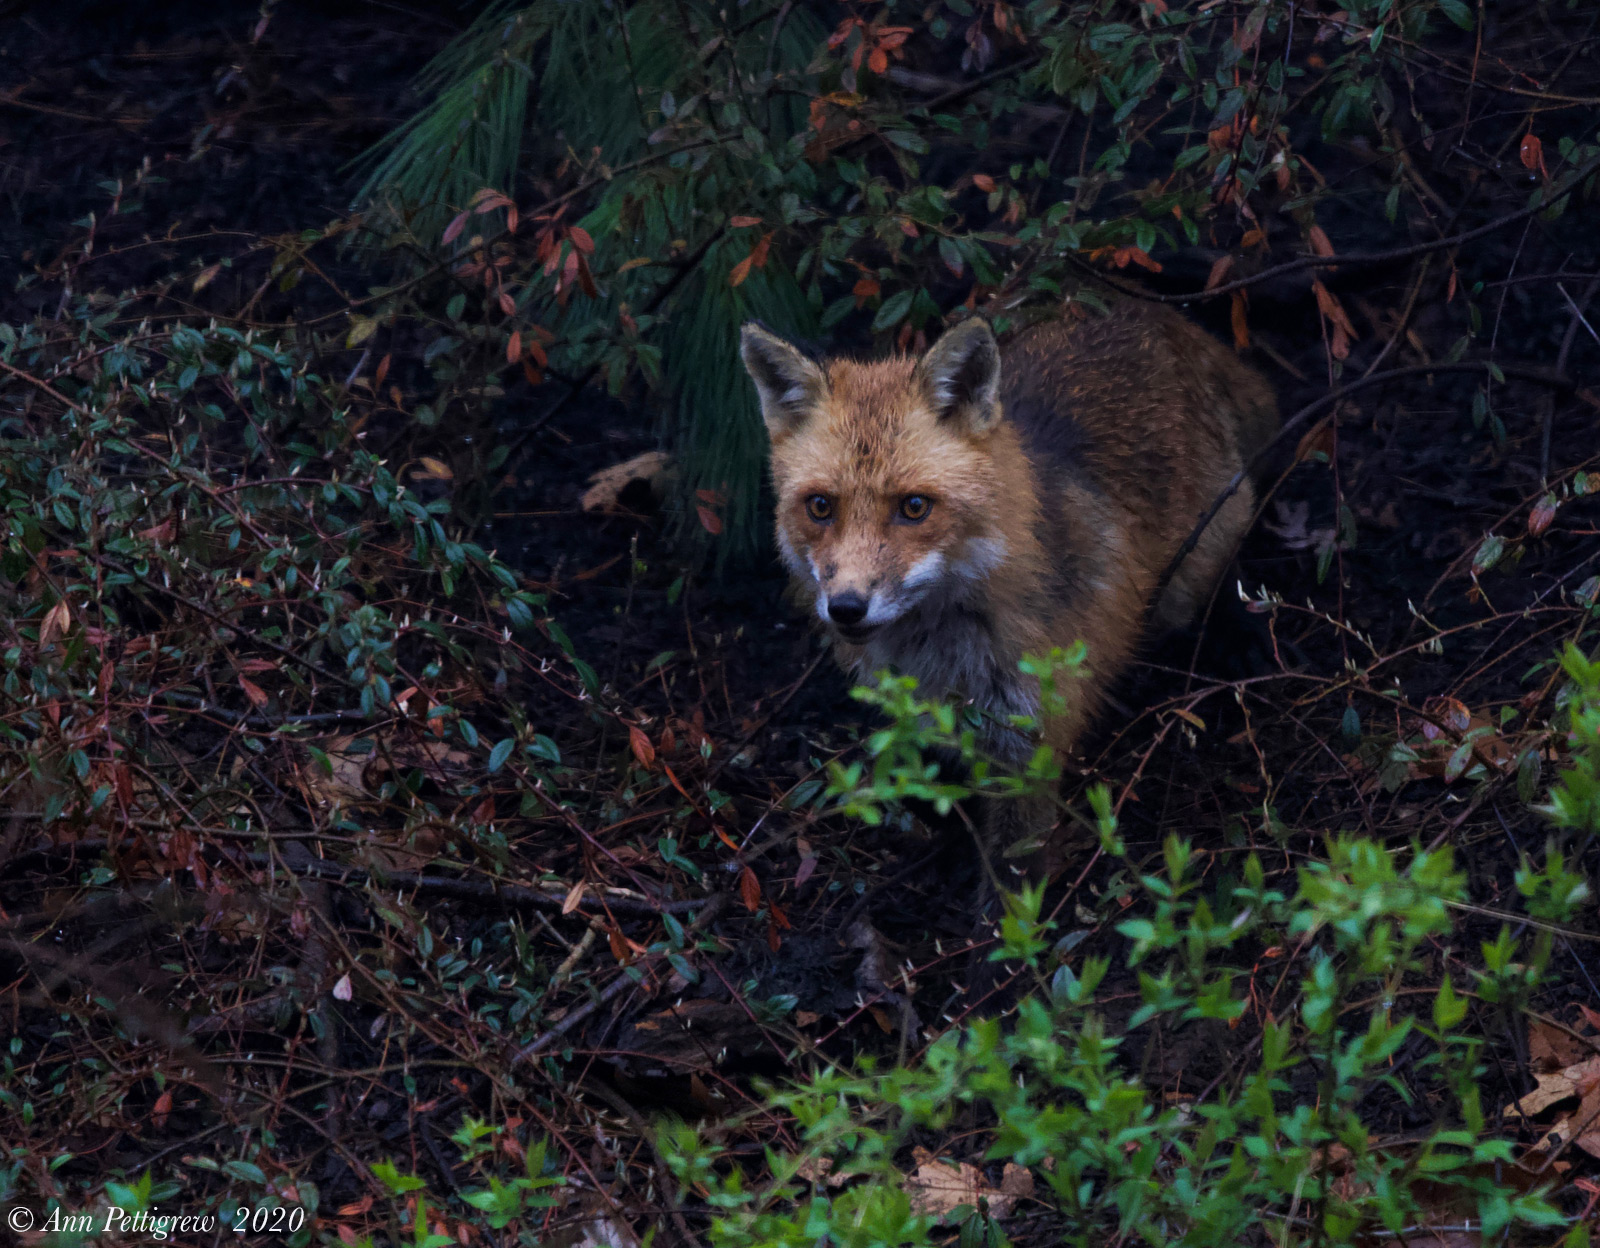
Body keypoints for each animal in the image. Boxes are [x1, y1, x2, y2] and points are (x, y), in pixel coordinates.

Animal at [742, 307, 1280, 864]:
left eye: (914, 507)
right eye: (820, 506)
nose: (847, 607)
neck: (940, 657)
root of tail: (1160, 318)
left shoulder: (1031, 743)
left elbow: (1014, 871)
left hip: (1199, 559)